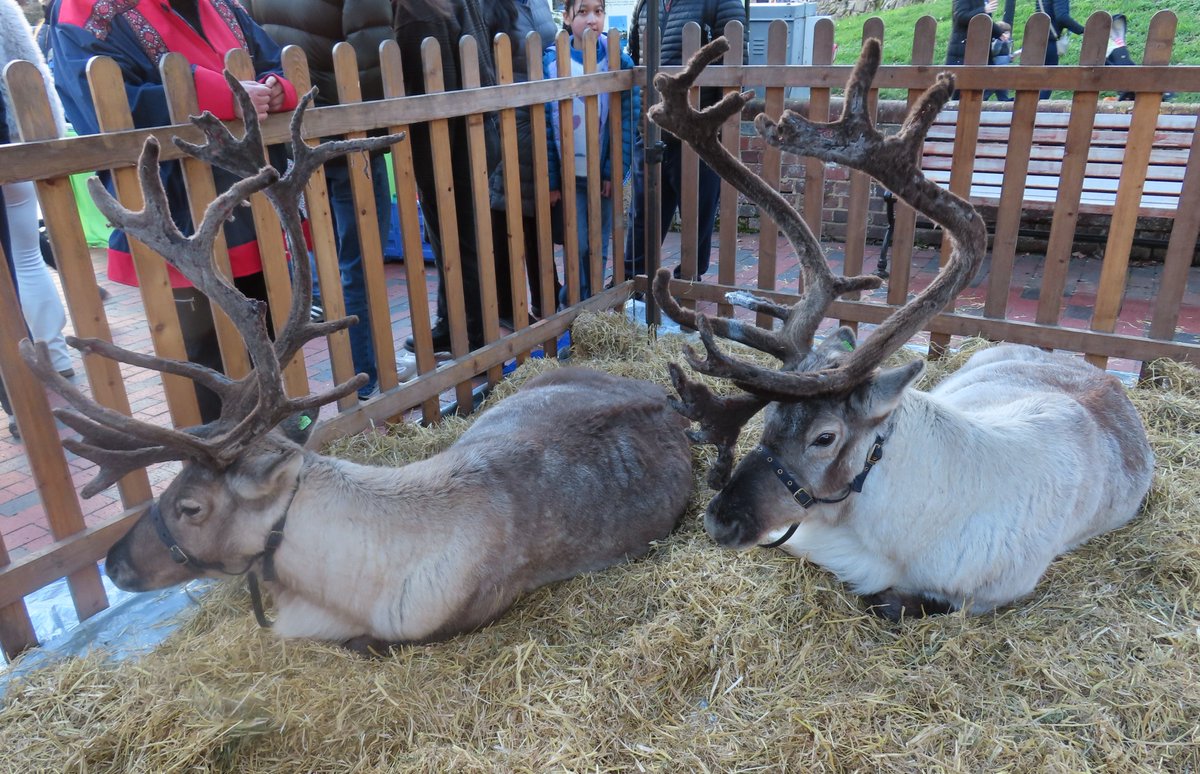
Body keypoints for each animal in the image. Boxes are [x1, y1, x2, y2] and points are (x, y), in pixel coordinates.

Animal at [647, 38, 1155, 620]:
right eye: (769, 418)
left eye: (825, 437)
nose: (719, 520)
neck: (883, 535)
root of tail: (1099, 373)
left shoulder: (993, 592)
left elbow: (895, 603)